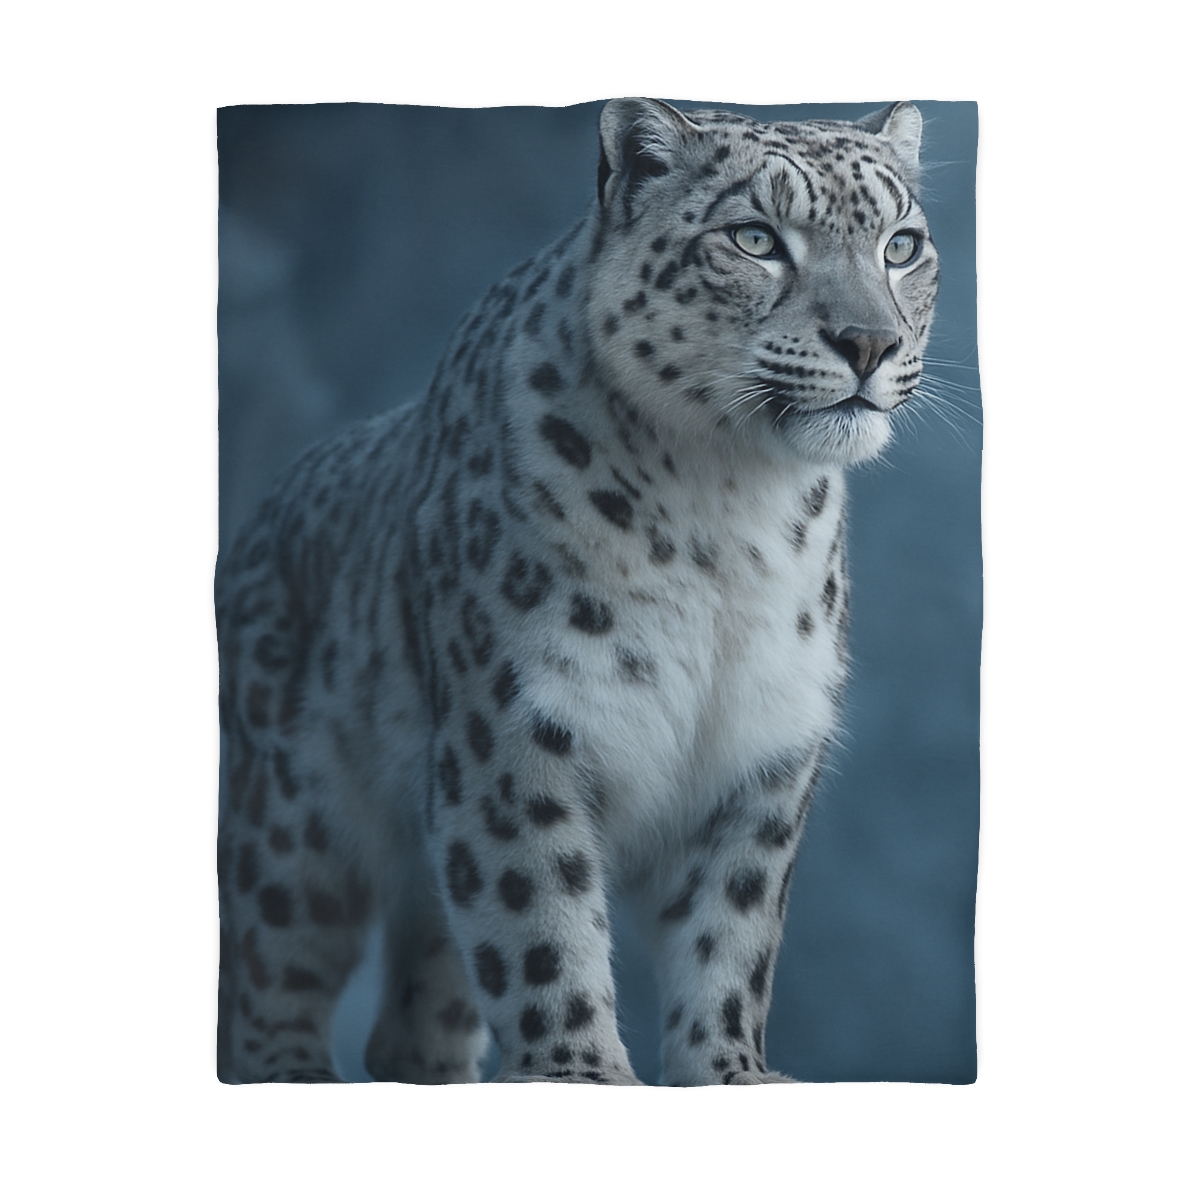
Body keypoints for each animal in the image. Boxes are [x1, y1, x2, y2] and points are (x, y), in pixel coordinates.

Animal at [216, 98, 940, 1085]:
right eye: (755, 238)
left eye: (900, 246)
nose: (871, 343)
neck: (735, 514)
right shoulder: (517, 732)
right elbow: (540, 918)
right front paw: (581, 1073)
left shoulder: (761, 757)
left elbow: (732, 934)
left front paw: (732, 1071)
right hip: (290, 830)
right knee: (269, 991)